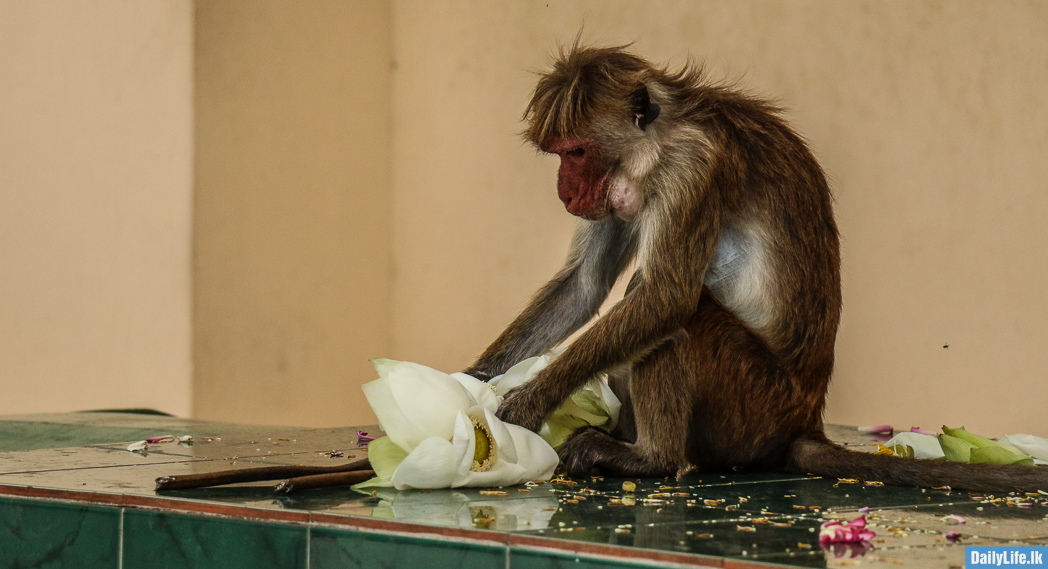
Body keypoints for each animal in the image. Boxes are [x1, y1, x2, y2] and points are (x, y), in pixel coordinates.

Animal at [465, 43, 1048, 494]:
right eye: (561, 154)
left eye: (578, 152)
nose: (565, 191)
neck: (662, 140)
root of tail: (803, 420)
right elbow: (584, 285)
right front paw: (473, 380)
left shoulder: (693, 167)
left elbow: (665, 299)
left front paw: (527, 402)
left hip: (752, 407)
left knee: (682, 312)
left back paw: (650, 458)